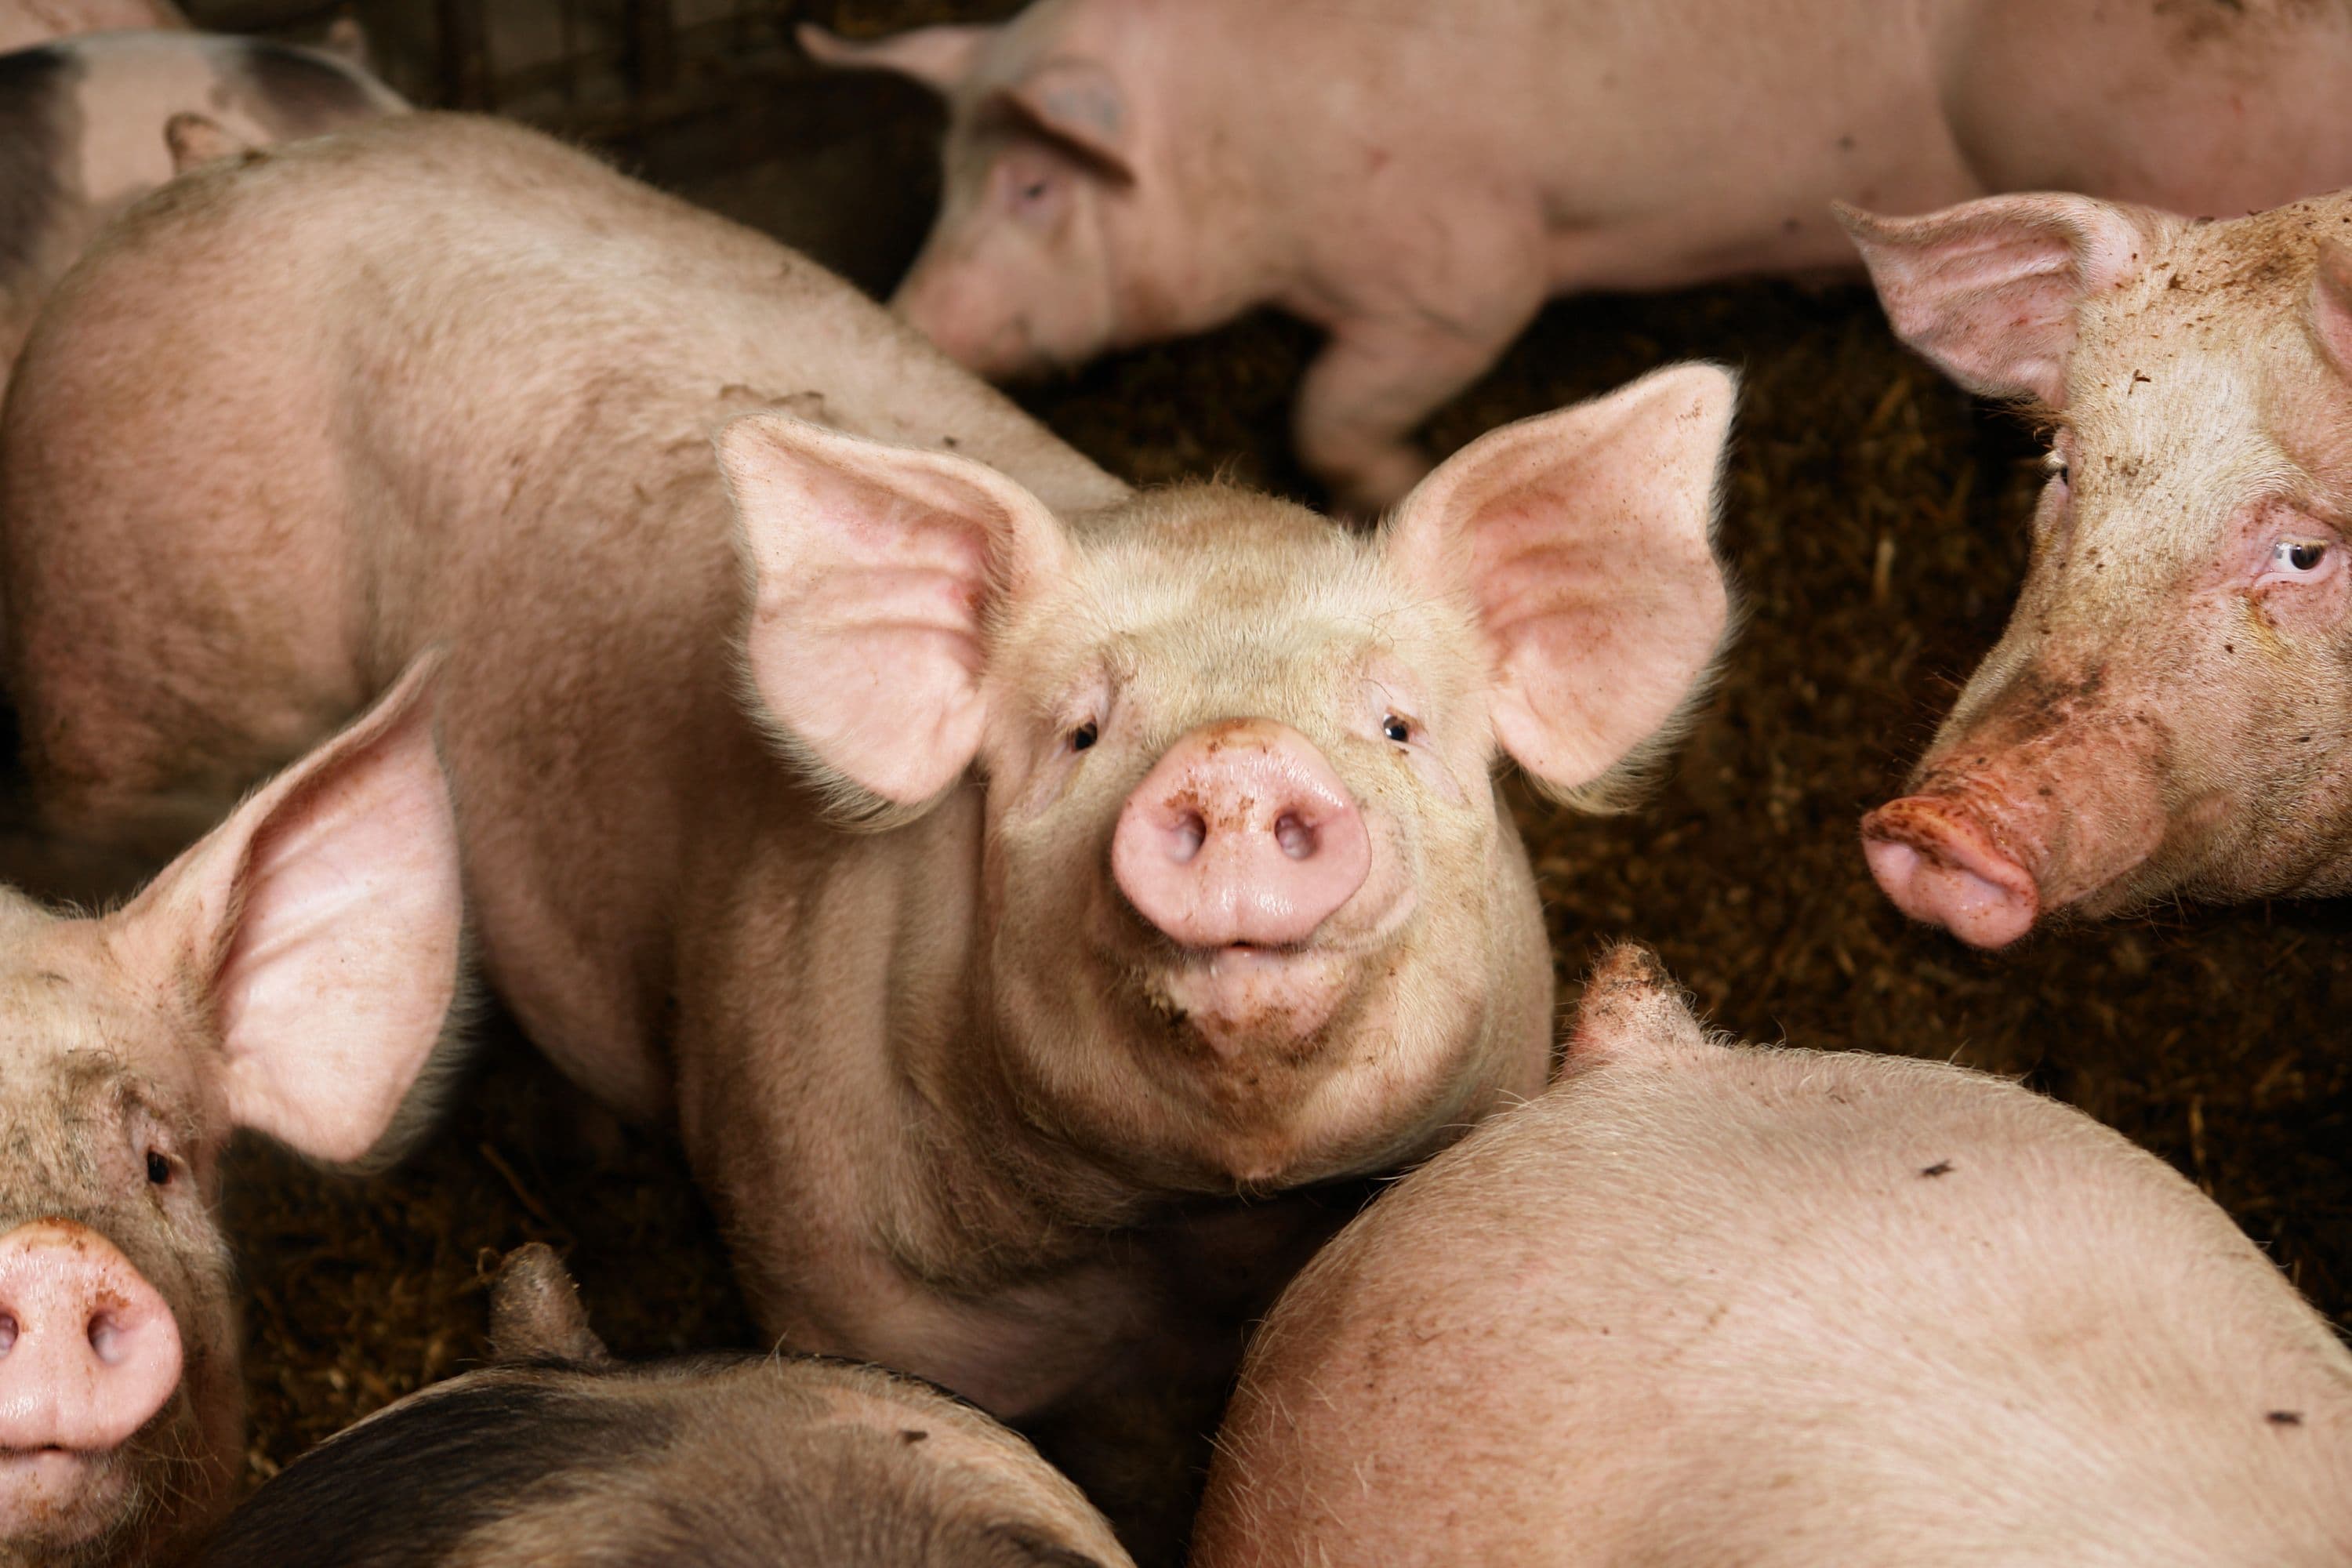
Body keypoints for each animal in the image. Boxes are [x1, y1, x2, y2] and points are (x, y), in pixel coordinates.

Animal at [0, 108, 1735, 1474]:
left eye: (1399, 724)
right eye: (1076, 733)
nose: (1240, 759)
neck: (1183, 1242)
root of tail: (225, 165)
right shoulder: (834, 1264)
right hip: (118, 695)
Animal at [803, 0, 2352, 513]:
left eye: (1032, 184)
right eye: (944, 179)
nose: (912, 314)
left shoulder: (1460, 277)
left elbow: (1331, 407)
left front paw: (1388, 485)